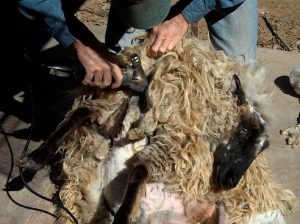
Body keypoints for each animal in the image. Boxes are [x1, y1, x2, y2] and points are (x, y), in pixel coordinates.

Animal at [19, 36, 298, 224]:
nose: (230, 182)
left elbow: (139, 171)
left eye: (261, 148)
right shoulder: (113, 122)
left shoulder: (167, 150)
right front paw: (34, 159)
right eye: (244, 132)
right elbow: (81, 114)